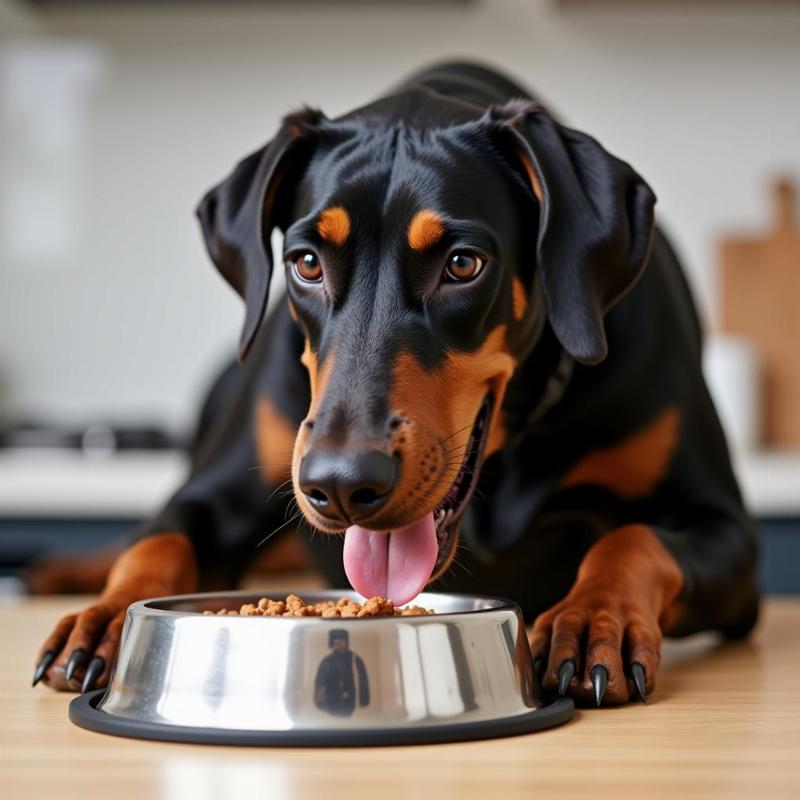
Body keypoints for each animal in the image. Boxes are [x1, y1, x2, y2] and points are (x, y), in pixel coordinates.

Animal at [34, 67, 760, 708]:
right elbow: (159, 540)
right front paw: (107, 617)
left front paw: (591, 619)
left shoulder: (727, 534)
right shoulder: (214, 493)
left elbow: (634, 539)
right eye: (306, 262)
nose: (341, 485)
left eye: (463, 264)